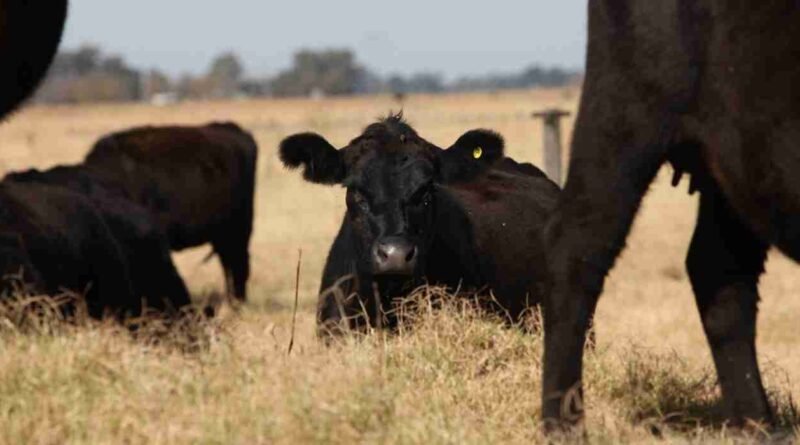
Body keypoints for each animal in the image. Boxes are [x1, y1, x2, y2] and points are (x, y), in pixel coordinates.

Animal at [540, 0, 800, 430]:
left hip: (732, 171)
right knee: (576, 249)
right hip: (623, 117)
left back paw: (757, 425)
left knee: (719, 272)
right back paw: (563, 425)